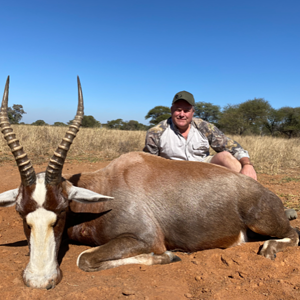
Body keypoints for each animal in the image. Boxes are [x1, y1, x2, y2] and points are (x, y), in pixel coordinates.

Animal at [0, 76, 298, 290]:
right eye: (20, 211)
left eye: (62, 210)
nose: (40, 281)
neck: (106, 188)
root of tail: (268, 195)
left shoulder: (145, 238)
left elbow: (84, 258)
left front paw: (169, 256)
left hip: (263, 222)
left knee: (293, 234)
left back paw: (269, 248)